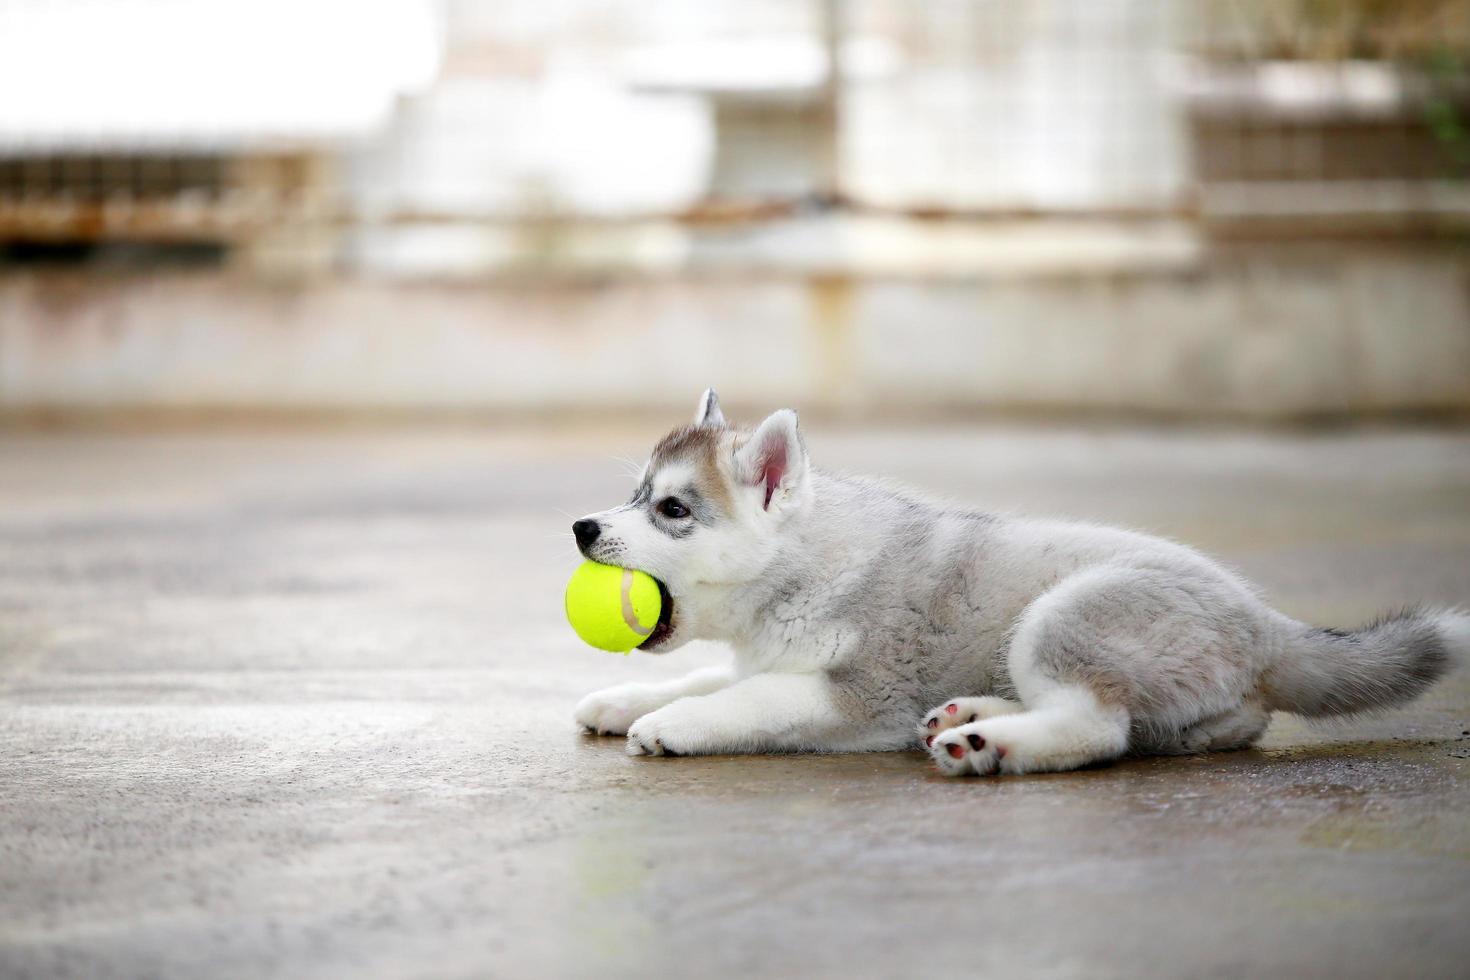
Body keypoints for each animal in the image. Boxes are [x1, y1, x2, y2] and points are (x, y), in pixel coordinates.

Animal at [567, 387, 1464, 775]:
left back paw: (989, 743)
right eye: (637, 494)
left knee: (1097, 730)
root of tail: (1267, 625)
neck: (803, 562)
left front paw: (674, 724)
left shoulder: (857, 693)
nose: (581, 529)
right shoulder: (764, 654)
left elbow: (748, 696)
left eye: (673, 509)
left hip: (1064, 616)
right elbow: (711, 674)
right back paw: (970, 717)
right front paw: (624, 701)